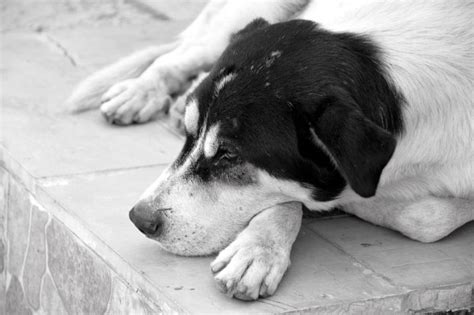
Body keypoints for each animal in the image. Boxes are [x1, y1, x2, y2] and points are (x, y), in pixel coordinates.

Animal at [67, 0, 474, 302]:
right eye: (188, 133)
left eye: (229, 155)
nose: (139, 219)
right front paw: (258, 251)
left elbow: (426, 218)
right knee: (183, 53)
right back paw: (141, 91)